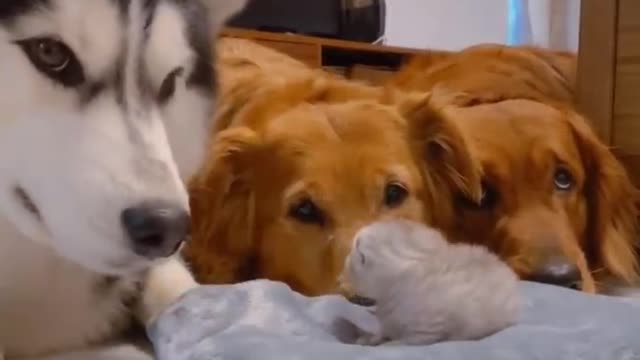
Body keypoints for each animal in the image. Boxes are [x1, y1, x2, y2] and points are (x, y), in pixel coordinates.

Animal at [342, 219, 524, 346]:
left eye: (355, 249)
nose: (345, 260)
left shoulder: (426, 330)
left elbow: (401, 342)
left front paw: (385, 343)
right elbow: (384, 330)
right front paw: (370, 338)